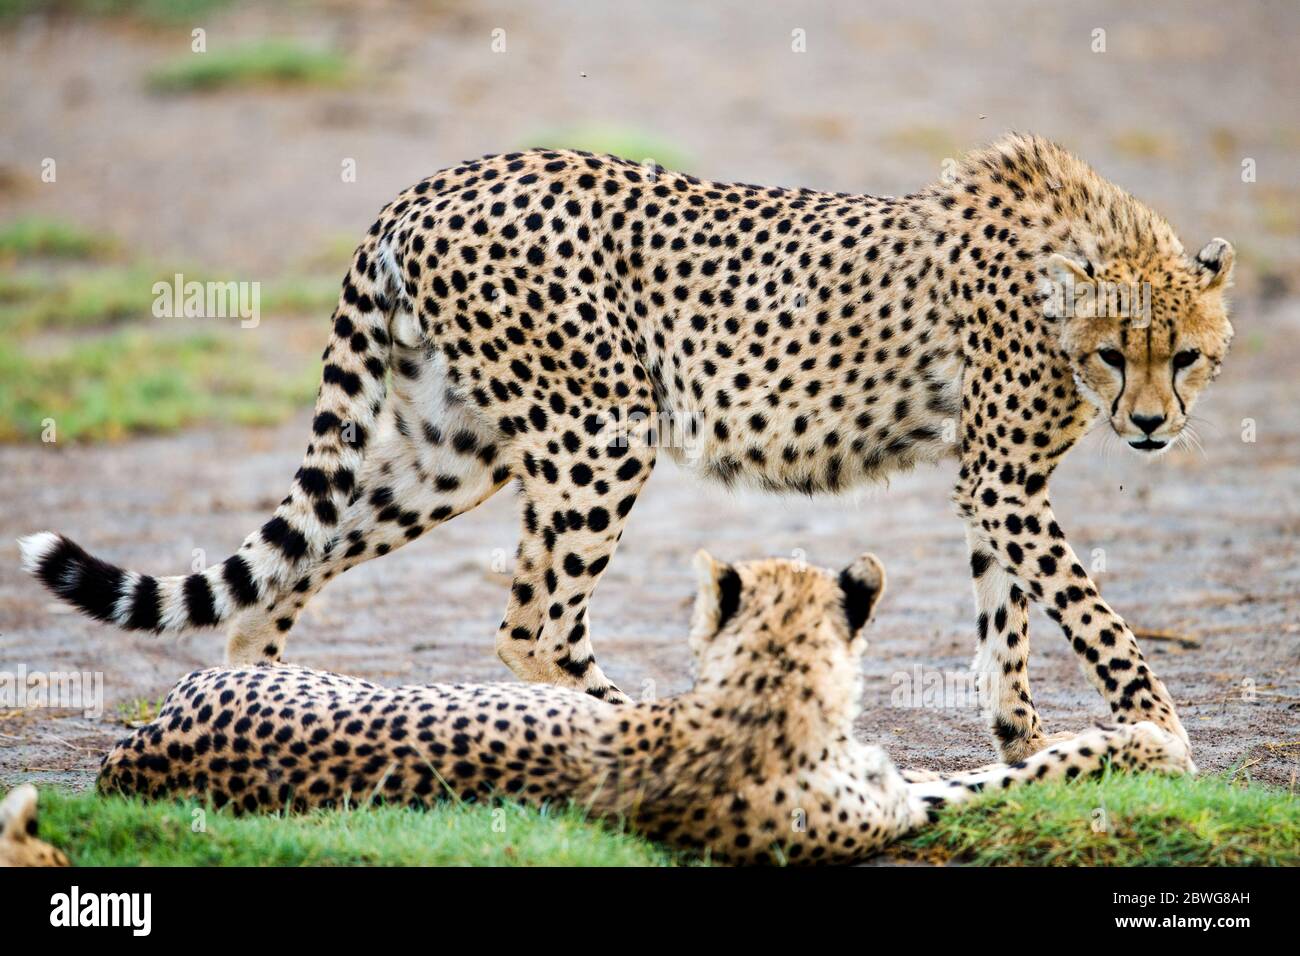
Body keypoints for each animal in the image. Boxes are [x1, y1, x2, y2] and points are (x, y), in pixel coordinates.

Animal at [25, 132, 1232, 764]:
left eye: (1185, 357)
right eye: (1117, 355)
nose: (1150, 425)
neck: (1081, 252)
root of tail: (432, 182)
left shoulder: (995, 483)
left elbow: (1010, 619)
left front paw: (1026, 743)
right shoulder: (1002, 477)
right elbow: (1089, 609)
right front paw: (1157, 729)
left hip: (452, 452)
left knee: (291, 572)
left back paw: (276, 710)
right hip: (600, 432)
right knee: (534, 625)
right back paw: (638, 727)